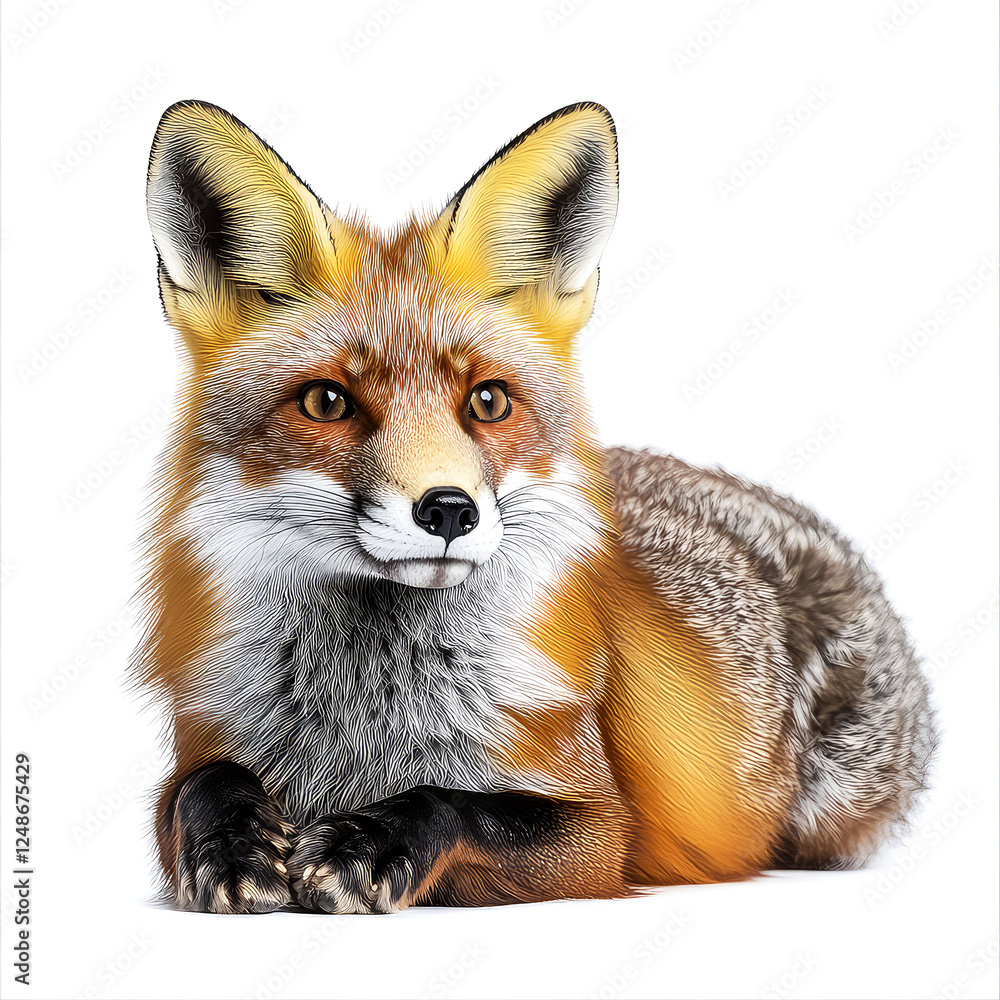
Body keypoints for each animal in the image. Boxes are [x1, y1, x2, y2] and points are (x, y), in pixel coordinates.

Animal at [136, 99, 937, 914]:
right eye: (327, 402)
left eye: (488, 401)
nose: (449, 510)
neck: (369, 707)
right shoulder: (197, 749)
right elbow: (203, 786)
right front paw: (235, 847)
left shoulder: (603, 830)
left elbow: (460, 804)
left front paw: (368, 843)